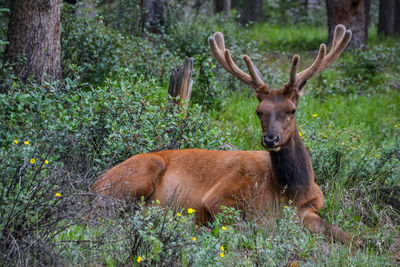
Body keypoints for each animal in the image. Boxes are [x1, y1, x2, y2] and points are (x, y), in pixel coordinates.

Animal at [91, 25, 354, 245]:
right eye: (259, 111)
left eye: (292, 110)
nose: (270, 139)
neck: (291, 191)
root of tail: (96, 182)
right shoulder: (220, 197)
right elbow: (250, 227)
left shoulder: (313, 207)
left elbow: (342, 233)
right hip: (137, 175)